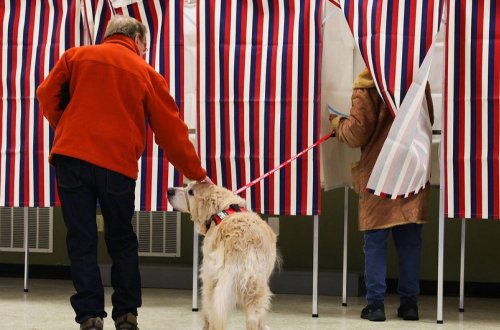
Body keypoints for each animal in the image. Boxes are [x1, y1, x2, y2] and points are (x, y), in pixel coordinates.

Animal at [167, 180, 278, 330]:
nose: (169, 190)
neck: (222, 209)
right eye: (187, 186)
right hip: (255, 285)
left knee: (212, 310)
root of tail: (239, 243)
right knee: (253, 318)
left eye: (190, 192)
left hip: (212, 278)